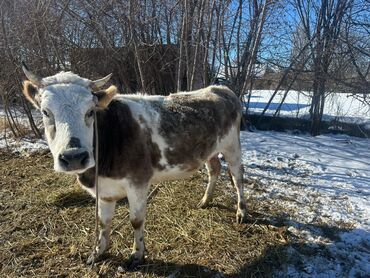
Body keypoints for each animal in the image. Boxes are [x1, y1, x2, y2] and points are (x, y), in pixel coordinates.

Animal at [21, 64, 247, 270]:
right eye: (45, 112)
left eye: (90, 112)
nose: (74, 156)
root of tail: (220, 88)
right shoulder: (104, 190)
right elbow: (103, 223)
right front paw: (98, 252)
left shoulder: (138, 182)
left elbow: (136, 220)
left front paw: (137, 255)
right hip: (210, 149)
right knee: (214, 169)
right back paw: (205, 200)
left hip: (232, 146)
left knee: (238, 177)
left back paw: (241, 212)